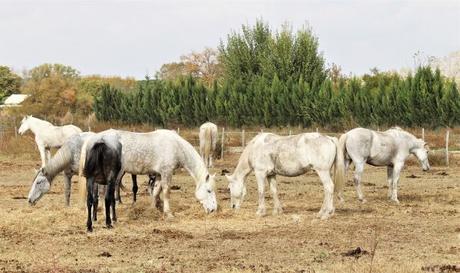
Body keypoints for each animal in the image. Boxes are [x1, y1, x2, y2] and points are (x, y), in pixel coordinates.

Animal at [82, 128, 217, 217]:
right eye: (209, 190)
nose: (213, 209)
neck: (176, 146)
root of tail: (96, 140)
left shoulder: (158, 175)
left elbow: (156, 191)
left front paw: (153, 209)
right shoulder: (166, 172)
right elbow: (166, 192)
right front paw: (168, 213)